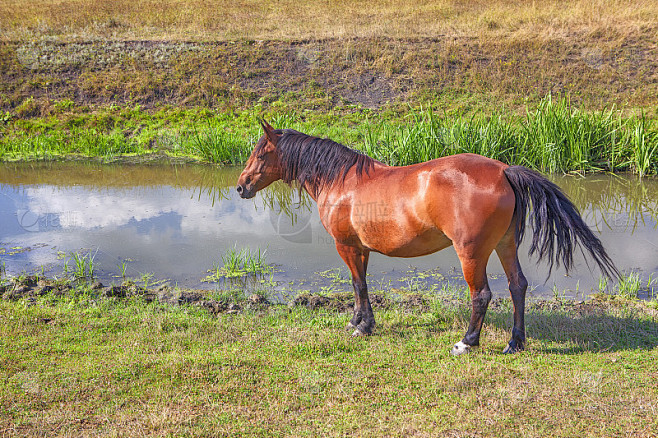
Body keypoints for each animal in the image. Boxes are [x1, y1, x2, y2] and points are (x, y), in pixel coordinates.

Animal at [236, 120, 619, 355]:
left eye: (261, 152)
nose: (241, 186)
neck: (343, 181)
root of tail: (503, 170)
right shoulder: (361, 248)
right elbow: (362, 286)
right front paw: (361, 322)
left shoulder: (346, 246)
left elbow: (358, 285)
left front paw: (361, 326)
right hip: (505, 245)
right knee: (517, 287)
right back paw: (515, 343)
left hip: (472, 252)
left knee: (481, 294)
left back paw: (467, 342)